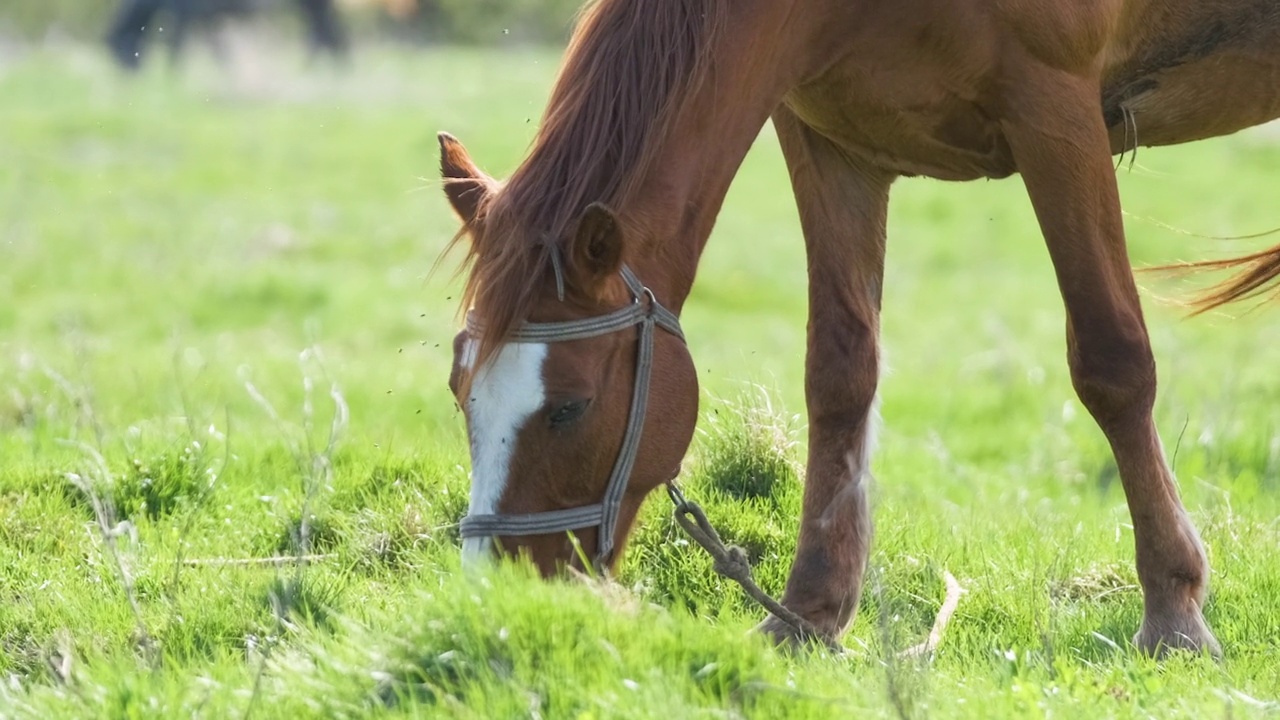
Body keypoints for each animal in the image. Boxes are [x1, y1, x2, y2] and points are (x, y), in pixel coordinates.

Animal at [440, 0, 1280, 653]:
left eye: (570, 407)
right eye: (460, 392)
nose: (498, 594)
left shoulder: (1055, 108)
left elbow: (1112, 360)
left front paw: (1174, 609)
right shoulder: (827, 140)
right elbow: (840, 371)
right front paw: (810, 611)